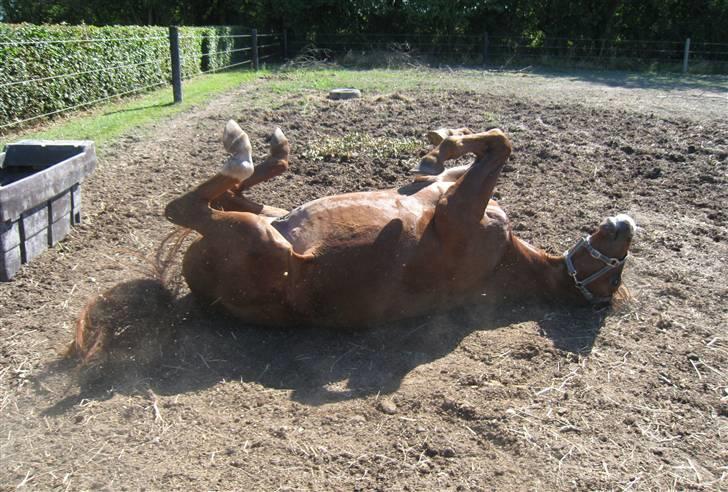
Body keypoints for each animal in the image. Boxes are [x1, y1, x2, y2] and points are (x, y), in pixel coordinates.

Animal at [161, 119, 636, 328]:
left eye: (613, 282)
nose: (627, 224)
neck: (506, 258)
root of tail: (198, 287)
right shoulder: (443, 190)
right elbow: (475, 151)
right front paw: (441, 143)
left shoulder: (456, 210)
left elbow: (501, 143)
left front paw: (443, 143)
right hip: (266, 216)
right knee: (239, 187)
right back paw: (275, 146)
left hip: (258, 237)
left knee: (185, 207)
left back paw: (240, 147)